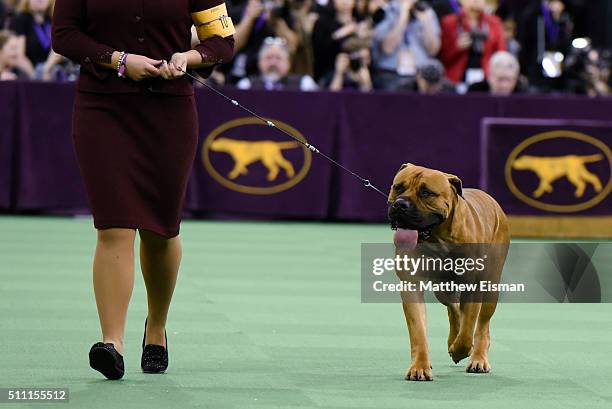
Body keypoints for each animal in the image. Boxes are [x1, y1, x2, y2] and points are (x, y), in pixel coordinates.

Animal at [388, 162, 512, 380]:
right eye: (398, 187)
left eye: (426, 193)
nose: (400, 204)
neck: (438, 237)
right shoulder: (411, 284)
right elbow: (418, 330)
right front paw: (420, 366)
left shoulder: (473, 286)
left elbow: (469, 328)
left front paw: (460, 350)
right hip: (442, 288)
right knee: (454, 309)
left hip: (491, 286)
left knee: (481, 324)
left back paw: (478, 357)